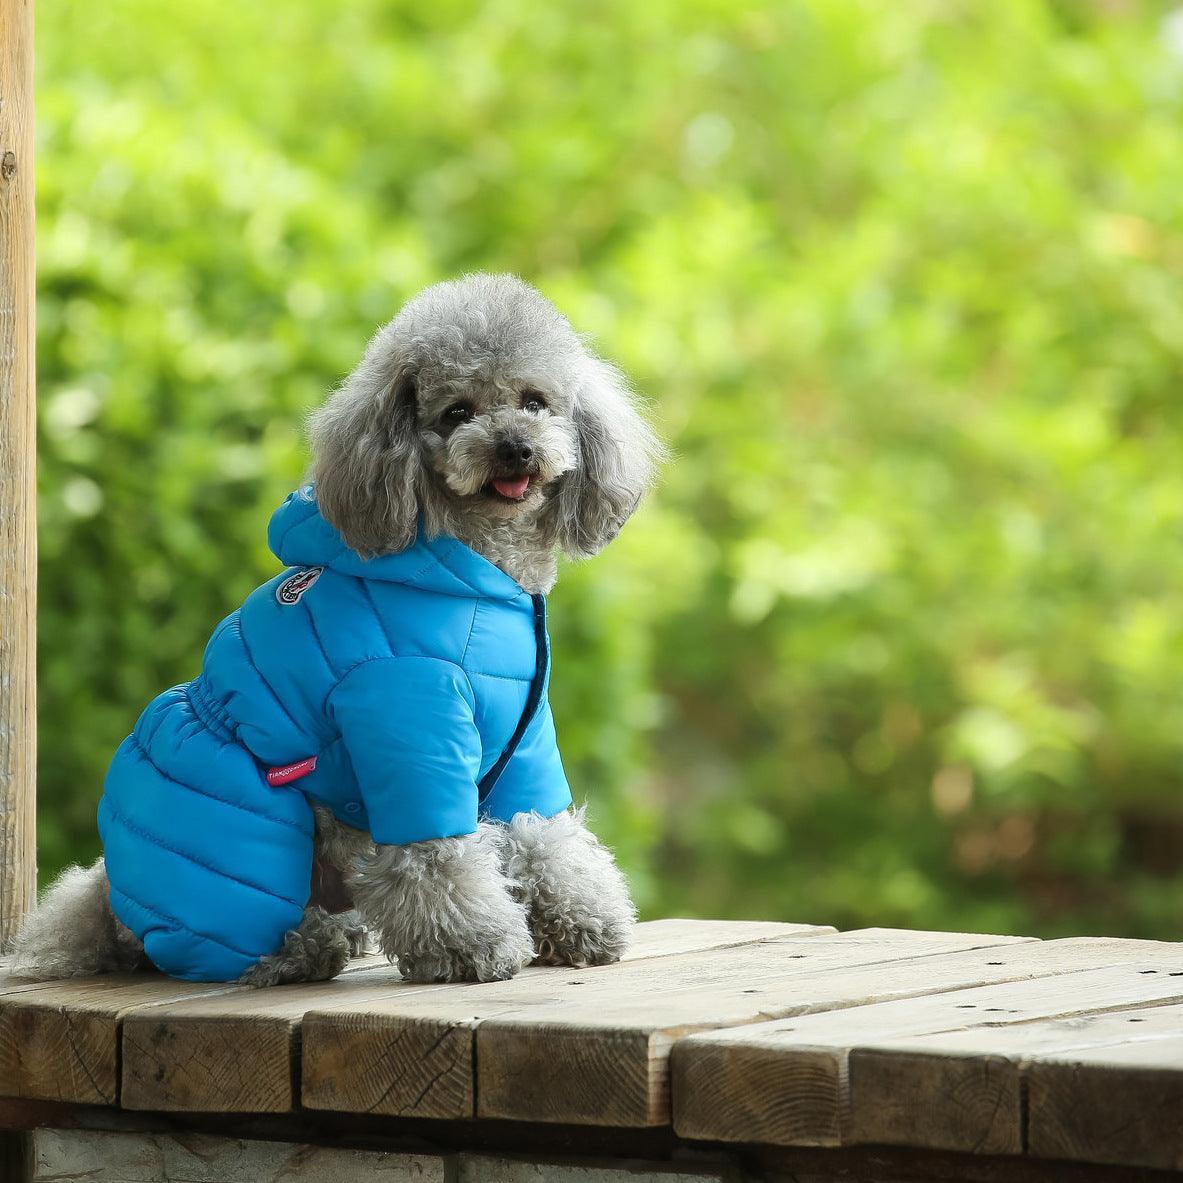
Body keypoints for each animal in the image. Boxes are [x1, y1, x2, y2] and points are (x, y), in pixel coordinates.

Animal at [13, 272, 662, 984]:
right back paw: (302, 948)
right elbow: (435, 855)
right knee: (216, 943)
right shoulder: (406, 720)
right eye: (456, 413)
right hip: (253, 820)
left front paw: (582, 920)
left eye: (536, 401)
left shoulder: (523, 732)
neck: (482, 573)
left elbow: (542, 829)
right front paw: (473, 945)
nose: (514, 445)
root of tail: (108, 903)